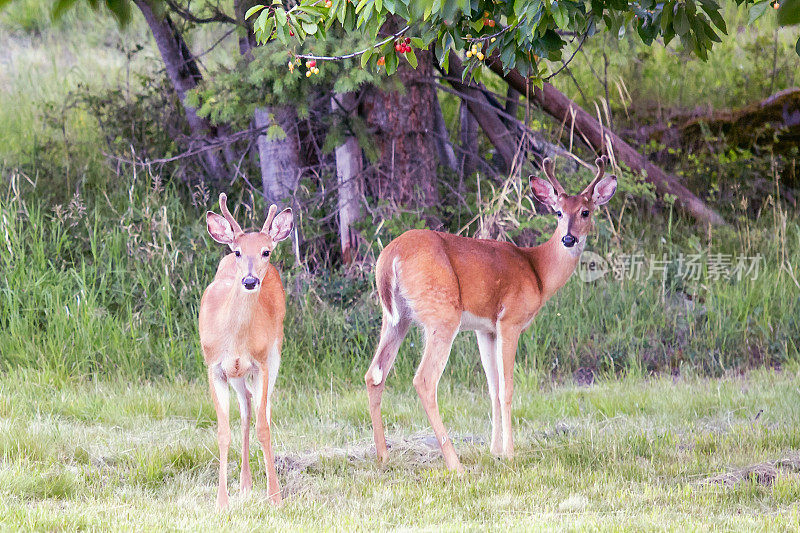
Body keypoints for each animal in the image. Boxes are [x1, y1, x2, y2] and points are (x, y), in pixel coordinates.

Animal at [198, 194, 292, 508]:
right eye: (238, 252)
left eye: (265, 251)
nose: (250, 281)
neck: (235, 338)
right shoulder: (214, 366)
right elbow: (223, 432)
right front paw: (221, 502)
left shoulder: (260, 363)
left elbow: (264, 427)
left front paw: (275, 497)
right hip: (237, 375)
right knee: (247, 409)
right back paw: (245, 485)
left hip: (274, 354)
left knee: (265, 411)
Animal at [366, 157, 616, 470]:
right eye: (558, 212)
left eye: (585, 211)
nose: (569, 239)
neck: (537, 271)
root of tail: (391, 255)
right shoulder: (510, 321)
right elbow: (507, 388)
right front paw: (510, 453)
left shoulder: (485, 329)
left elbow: (492, 387)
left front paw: (495, 451)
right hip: (442, 313)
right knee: (424, 379)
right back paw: (455, 465)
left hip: (396, 317)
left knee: (374, 374)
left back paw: (383, 457)